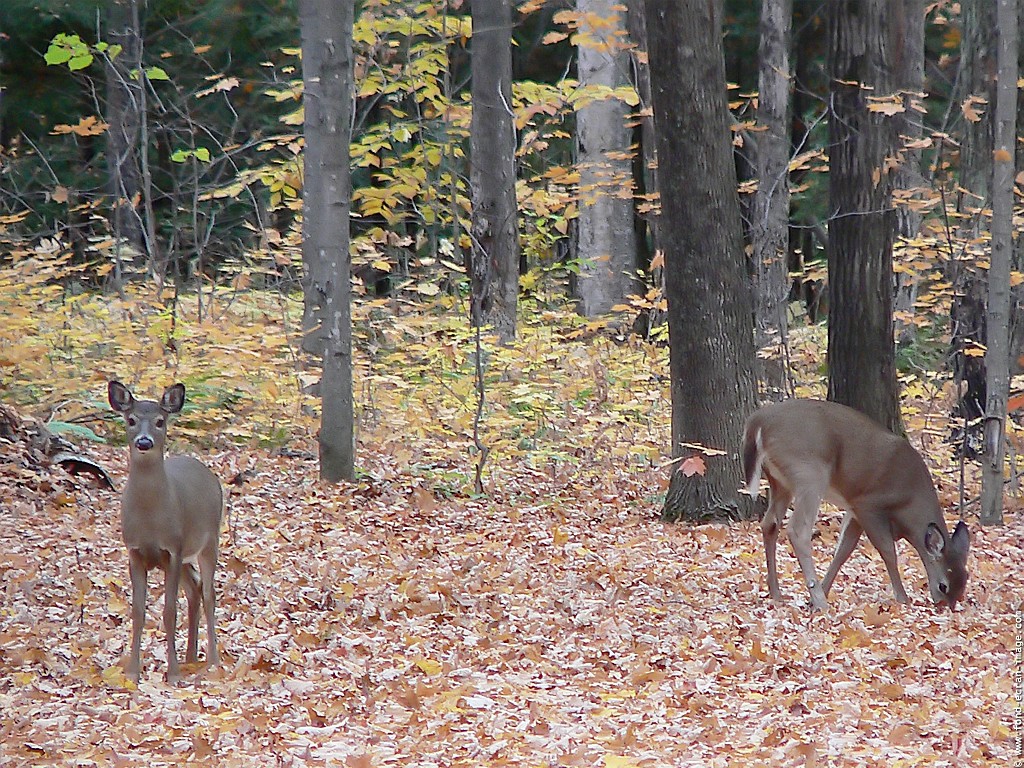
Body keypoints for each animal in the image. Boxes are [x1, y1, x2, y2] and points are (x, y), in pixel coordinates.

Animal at [107, 382, 221, 684]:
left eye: (160, 421)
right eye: (131, 420)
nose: (144, 442)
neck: (150, 518)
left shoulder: (173, 549)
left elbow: (170, 611)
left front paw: (173, 674)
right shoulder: (134, 551)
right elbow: (137, 611)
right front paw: (133, 671)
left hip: (209, 541)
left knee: (209, 593)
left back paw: (212, 661)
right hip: (186, 556)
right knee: (195, 588)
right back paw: (191, 656)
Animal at [745, 403, 966, 614]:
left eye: (964, 582)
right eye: (943, 586)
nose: (946, 607)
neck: (910, 502)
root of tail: (758, 421)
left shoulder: (854, 511)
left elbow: (843, 550)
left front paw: (819, 593)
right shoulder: (867, 504)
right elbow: (888, 551)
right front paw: (903, 598)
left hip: (781, 483)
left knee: (769, 524)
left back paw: (777, 593)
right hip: (809, 474)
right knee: (798, 530)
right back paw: (820, 602)